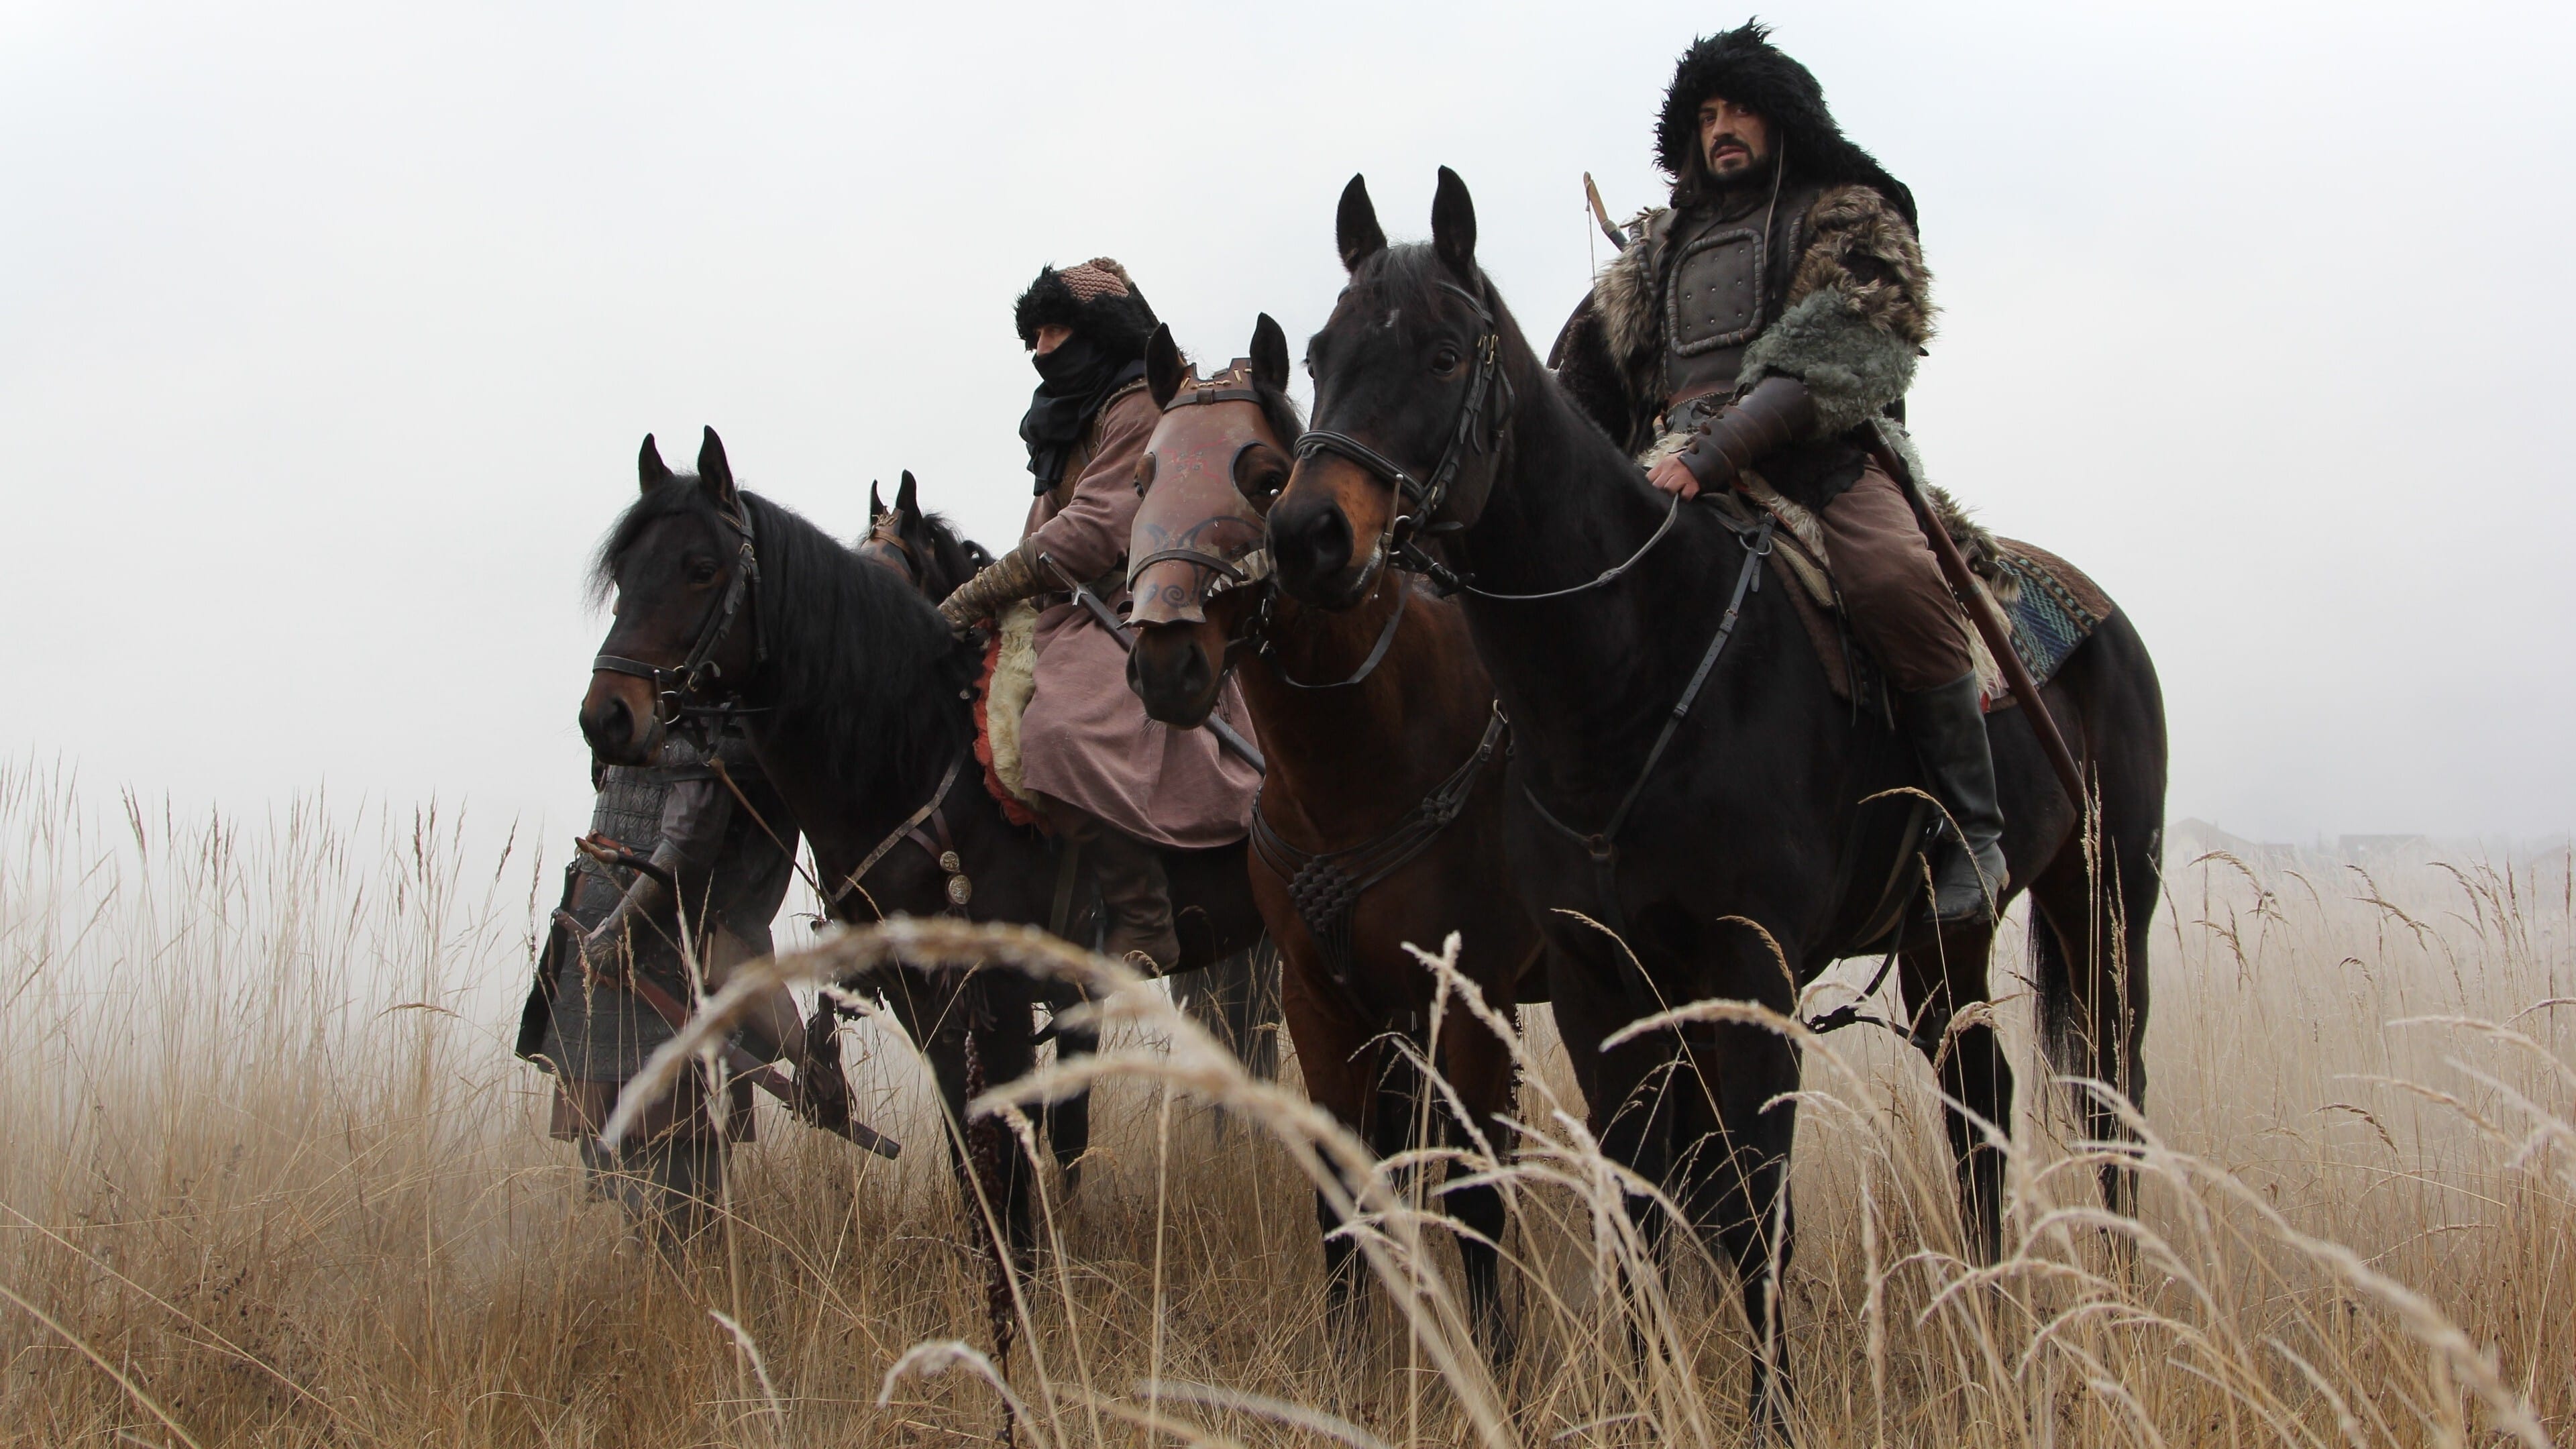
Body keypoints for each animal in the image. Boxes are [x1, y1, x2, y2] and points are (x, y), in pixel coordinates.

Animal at [582, 428, 1267, 1309]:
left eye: (701, 567)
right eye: (625, 574)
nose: (608, 716)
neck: (920, 752)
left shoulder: (1008, 998)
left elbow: (1022, 1154)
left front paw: (1027, 1298)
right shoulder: (930, 1004)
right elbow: (976, 1157)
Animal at [1123, 315, 1535, 1350]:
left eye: (1265, 477)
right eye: (1143, 478)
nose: (1167, 661)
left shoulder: (1471, 997)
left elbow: (1478, 1194)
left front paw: (1496, 1356)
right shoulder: (1321, 1003)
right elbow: (1343, 1186)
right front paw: (1351, 1351)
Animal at [1267, 171, 2174, 1423]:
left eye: (1447, 353)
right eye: (1320, 354)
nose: (1307, 534)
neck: (1634, 662)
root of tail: (2101, 613)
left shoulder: (1749, 970)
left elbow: (1753, 1210)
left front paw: (1768, 1409)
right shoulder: (1601, 981)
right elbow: (1639, 1200)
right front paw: (1646, 1396)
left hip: (2105, 901)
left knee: (2109, 1097)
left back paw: (2117, 1306)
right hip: (1946, 936)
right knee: (1978, 1099)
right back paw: (1991, 1314)